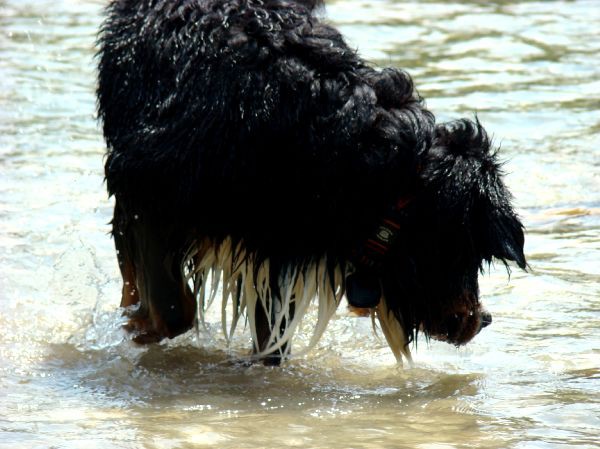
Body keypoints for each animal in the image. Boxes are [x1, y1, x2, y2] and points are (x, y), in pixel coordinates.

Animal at [97, 0, 524, 364]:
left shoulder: (278, 237)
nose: (482, 319)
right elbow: (172, 310)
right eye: (469, 253)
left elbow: (271, 334)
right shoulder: (144, 189)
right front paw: (140, 325)